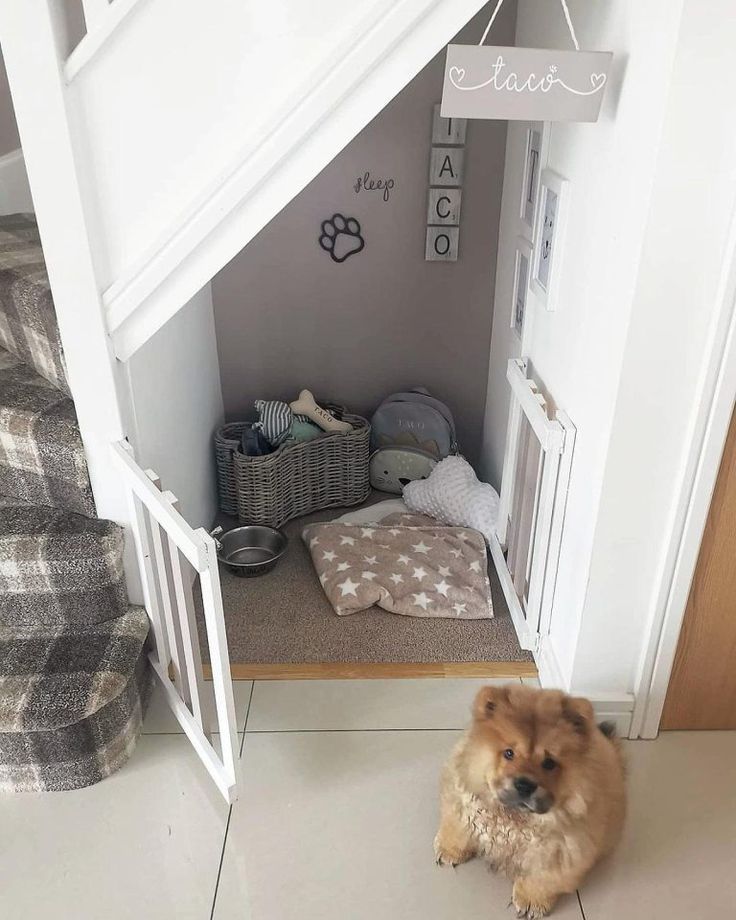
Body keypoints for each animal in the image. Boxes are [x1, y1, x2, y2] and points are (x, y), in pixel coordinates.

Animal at [434, 688, 624, 916]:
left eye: (549, 763)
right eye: (509, 753)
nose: (525, 784)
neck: (514, 818)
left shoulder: (561, 853)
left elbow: (542, 880)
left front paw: (531, 902)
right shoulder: (463, 802)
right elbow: (459, 829)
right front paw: (449, 851)